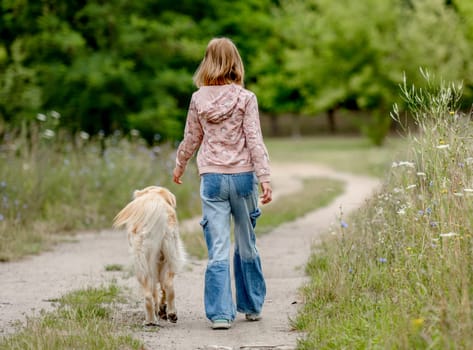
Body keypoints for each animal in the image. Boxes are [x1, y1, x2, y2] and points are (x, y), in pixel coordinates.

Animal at [112, 186, 184, 326]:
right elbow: (161, 289)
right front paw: (162, 309)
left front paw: (160, 310)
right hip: (168, 256)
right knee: (168, 286)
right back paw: (171, 313)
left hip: (142, 263)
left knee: (148, 294)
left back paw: (151, 320)